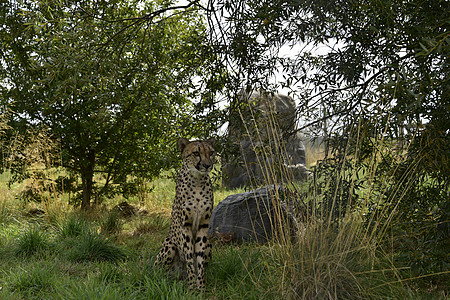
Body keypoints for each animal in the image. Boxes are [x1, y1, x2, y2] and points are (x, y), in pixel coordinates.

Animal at [156, 138, 215, 290]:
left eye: (211, 153)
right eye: (196, 153)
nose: (207, 165)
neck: (198, 181)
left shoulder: (203, 226)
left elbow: (199, 260)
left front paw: (201, 286)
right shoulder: (185, 226)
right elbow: (189, 257)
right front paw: (192, 285)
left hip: (210, 244)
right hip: (170, 244)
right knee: (158, 271)